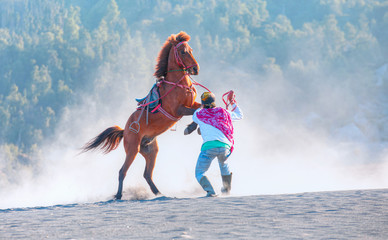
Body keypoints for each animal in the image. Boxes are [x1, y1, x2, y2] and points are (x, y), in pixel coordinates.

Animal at [83, 32, 202, 201]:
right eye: (183, 52)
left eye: (191, 50)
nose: (195, 69)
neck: (176, 84)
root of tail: (124, 131)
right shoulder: (178, 110)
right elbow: (195, 112)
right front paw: (191, 128)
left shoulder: (190, 104)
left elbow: (201, 107)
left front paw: (194, 126)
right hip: (132, 149)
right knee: (122, 171)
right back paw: (118, 195)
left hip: (151, 150)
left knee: (147, 174)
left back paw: (159, 193)